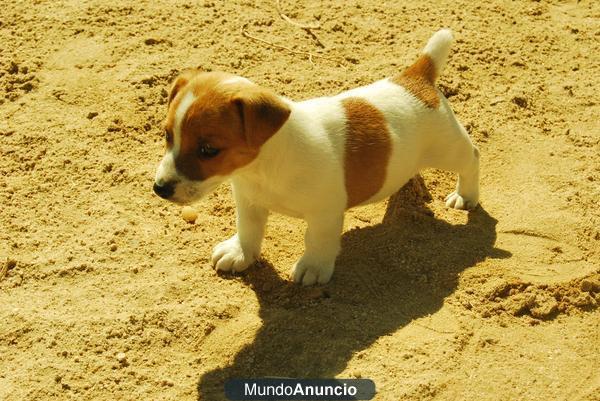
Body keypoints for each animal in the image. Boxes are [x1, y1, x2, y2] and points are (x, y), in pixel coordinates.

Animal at [154, 28, 478, 284]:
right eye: (168, 135)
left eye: (209, 150)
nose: (159, 189)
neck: (262, 167)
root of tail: (415, 76)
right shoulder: (249, 200)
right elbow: (248, 229)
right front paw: (240, 253)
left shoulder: (325, 213)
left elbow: (317, 241)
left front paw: (313, 267)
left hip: (448, 148)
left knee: (472, 157)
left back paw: (466, 196)